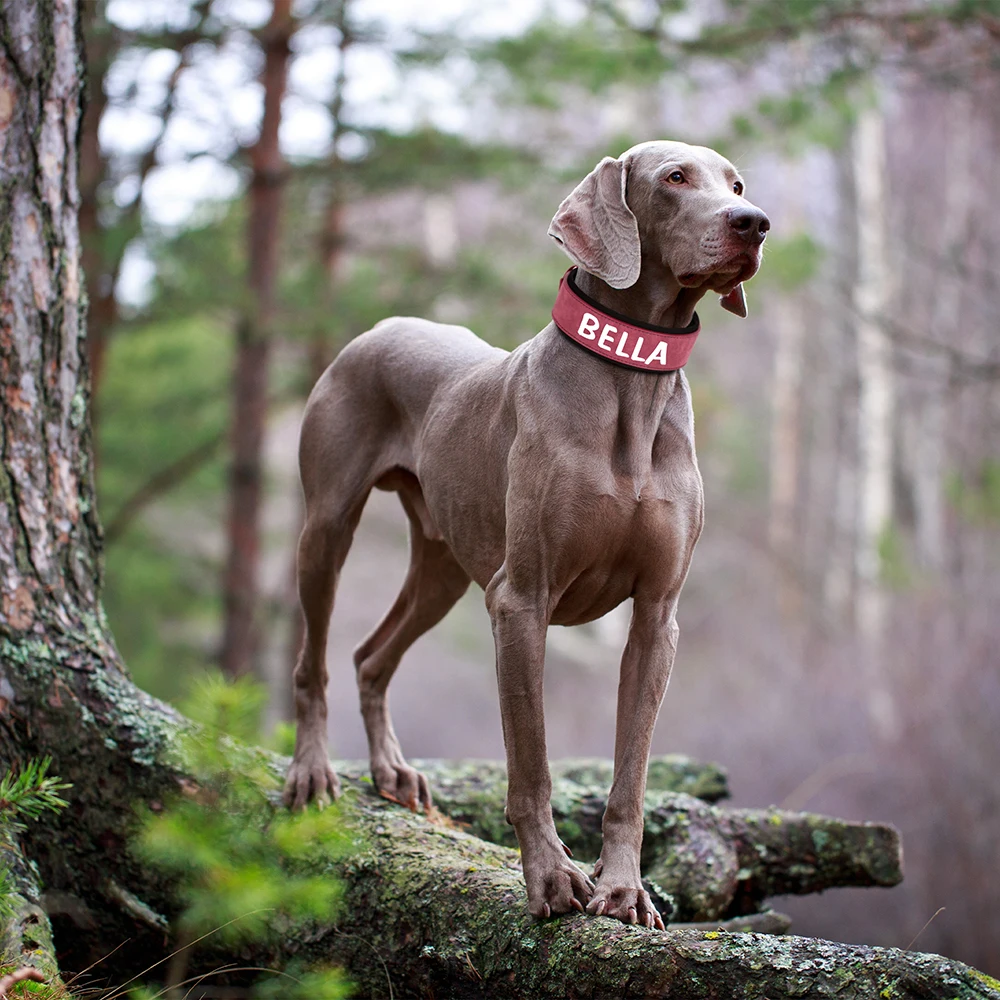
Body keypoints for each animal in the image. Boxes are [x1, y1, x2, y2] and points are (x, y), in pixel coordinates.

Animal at [286, 141, 768, 928]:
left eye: (736, 183)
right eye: (674, 178)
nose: (753, 222)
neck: (630, 383)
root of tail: (381, 326)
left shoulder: (656, 619)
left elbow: (630, 778)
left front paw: (623, 889)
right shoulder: (520, 602)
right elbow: (531, 765)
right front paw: (550, 879)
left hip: (443, 568)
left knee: (369, 656)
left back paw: (391, 771)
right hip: (326, 528)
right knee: (315, 661)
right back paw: (312, 771)